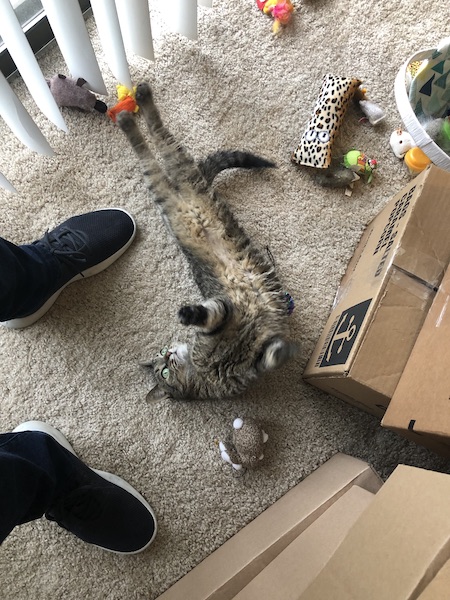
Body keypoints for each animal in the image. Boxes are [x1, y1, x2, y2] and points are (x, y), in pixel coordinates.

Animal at [118, 82, 298, 400]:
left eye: (164, 365)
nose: (167, 356)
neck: (201, 374)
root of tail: (183, 197)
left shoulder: (220, 317)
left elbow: (208, 316)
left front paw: (186, 312)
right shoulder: (233, 335)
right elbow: (269, 356)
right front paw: (282, 352)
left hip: (177, 174)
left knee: (156, 141)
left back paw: (134, 107)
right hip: (168, 187)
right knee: (153, 153)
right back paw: (134, 109)